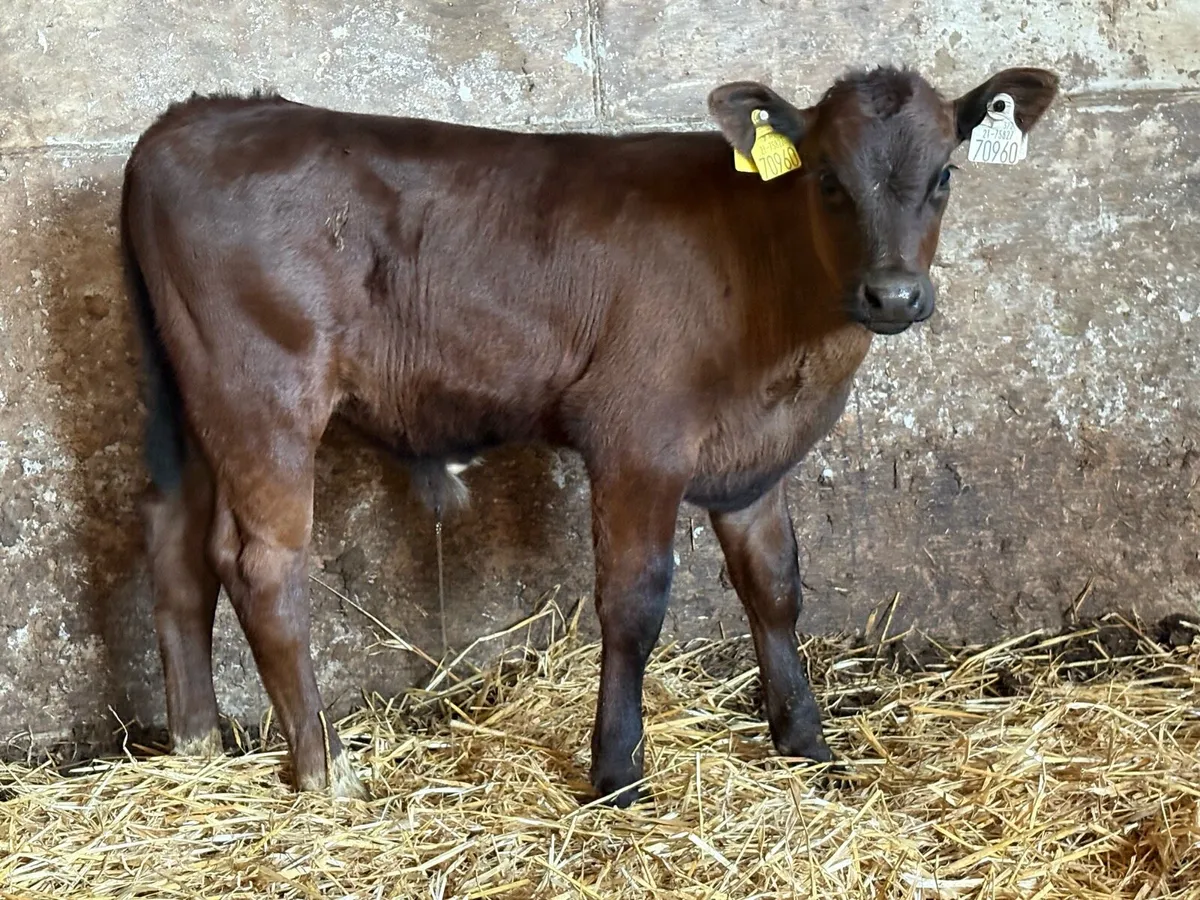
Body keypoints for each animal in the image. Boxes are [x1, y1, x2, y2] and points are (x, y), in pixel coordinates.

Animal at [120, 64, 1058, 807]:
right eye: (826, 177)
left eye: (944, 173)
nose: (892, 294)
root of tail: (194, 116)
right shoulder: (638, 438)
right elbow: (634, 604)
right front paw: (616, 774)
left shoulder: (752, 463)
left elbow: (775, 589)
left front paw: (808, 745)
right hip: (263, 388)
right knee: (263, 565)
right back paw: (325, 771)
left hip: (188, 399)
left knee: (177, 546)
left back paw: (197, 743)